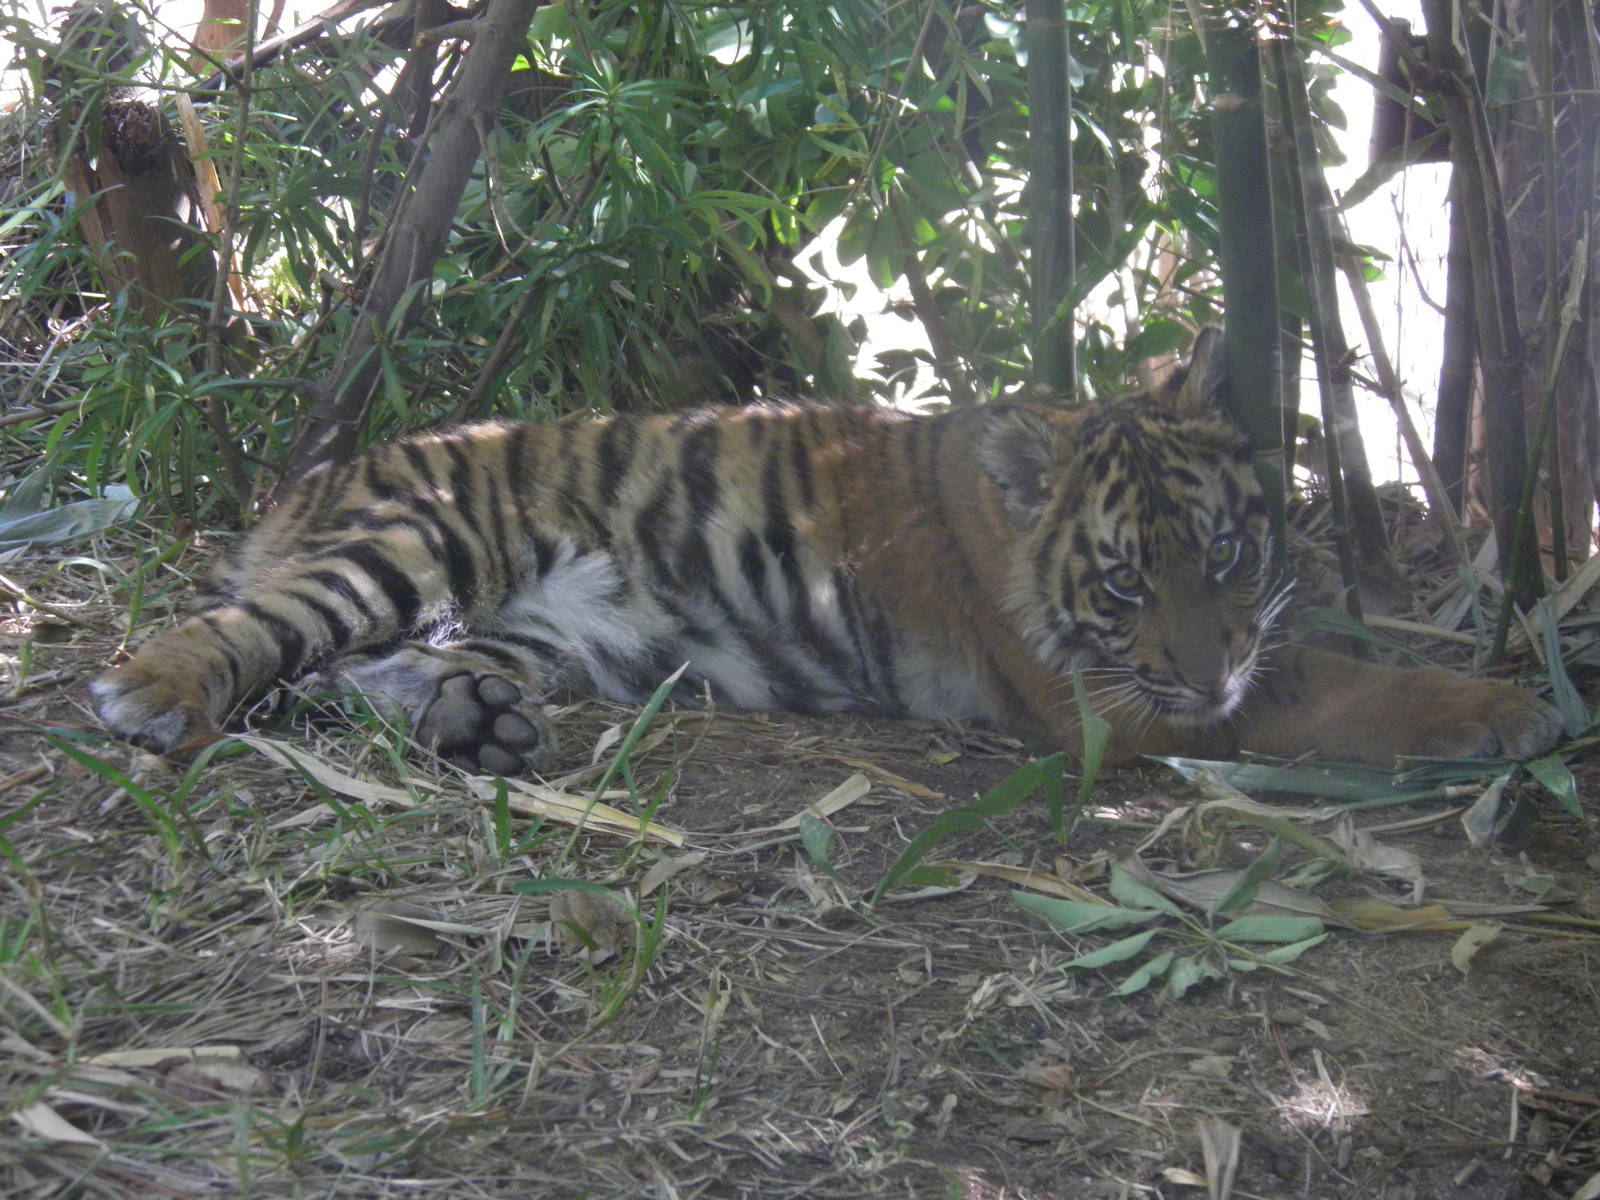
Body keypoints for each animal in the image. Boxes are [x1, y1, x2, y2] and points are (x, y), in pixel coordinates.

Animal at [92, 330, 1562, 775]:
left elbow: (1307, 656)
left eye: (1226, 551)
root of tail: (319, 473)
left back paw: (478, 726)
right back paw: (148, 692)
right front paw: (1504, 709)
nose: (1206, 675)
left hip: (523, 629)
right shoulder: (1106, 701)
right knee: (253, 634)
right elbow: (1324, 684)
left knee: (353, 673)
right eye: (1126, 582)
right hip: (415, 540)